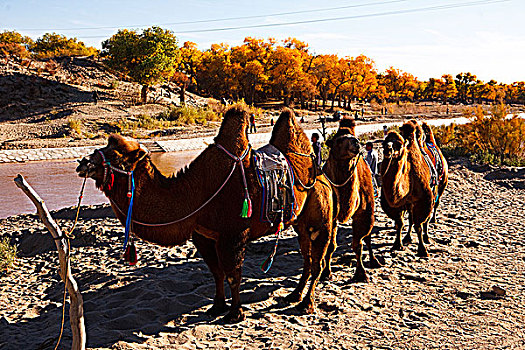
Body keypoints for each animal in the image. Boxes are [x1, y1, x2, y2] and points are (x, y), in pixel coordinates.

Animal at [75, 106, 334, 322]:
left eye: (116, 154)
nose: (83, 162)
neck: (196, 194)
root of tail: (321, 175)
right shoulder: (204, 235)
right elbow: (216, 272)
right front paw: (217, 306)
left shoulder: (233, 234)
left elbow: (233, 275)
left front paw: (235, 313)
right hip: (300, 222)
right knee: (307, 257)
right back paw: (294, 295)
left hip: (321, 216)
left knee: (318, 260)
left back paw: (306, 304)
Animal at [322, 119, 378, 284]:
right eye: (339, 140)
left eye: (354, 137)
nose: (356, 143)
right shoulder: (331, 215)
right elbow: (330, 245)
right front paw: (326, 272)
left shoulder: (363, 212)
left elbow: (358, 244)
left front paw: (361, 274)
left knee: (367, 237)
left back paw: (374, 260)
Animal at [380, 121, 434, 258]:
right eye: (384, 143)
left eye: (399, 144)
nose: (388, 149)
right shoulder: (396, 205)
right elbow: (400, 223)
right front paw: (397, 245)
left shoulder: (423, 201)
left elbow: (418, 225)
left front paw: (422, 250)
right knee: (410, 220)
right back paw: (407, 238)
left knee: (424, 219)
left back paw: (426, 238)